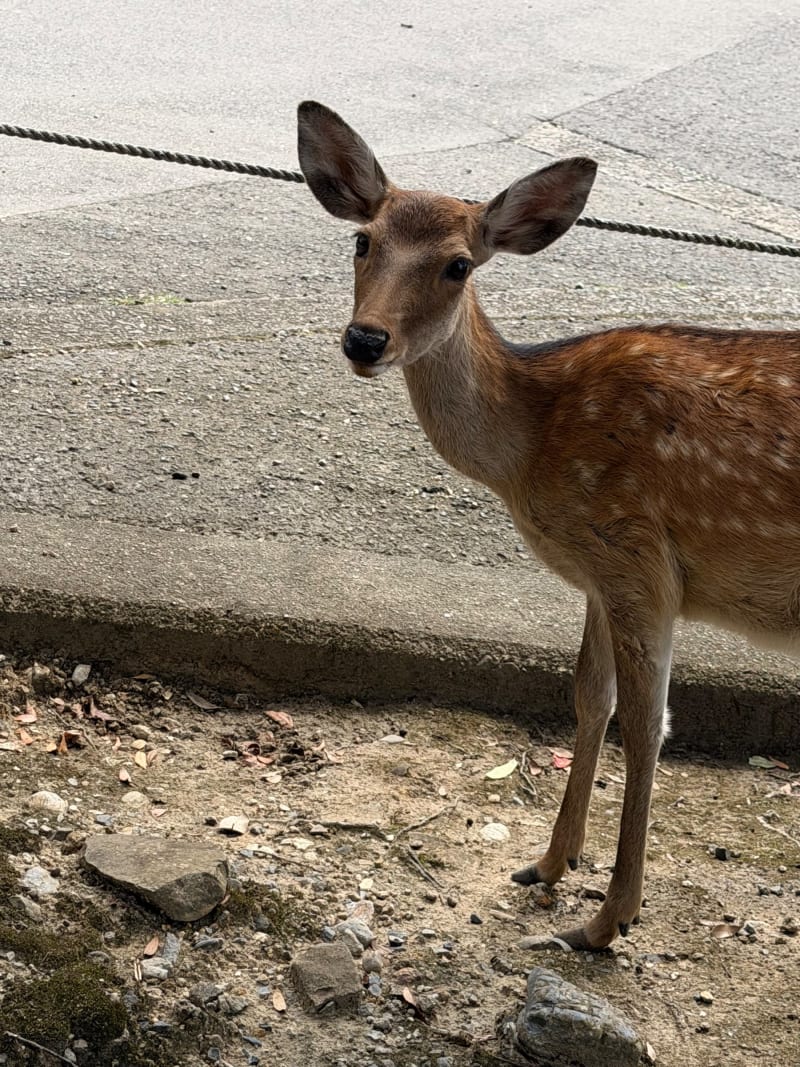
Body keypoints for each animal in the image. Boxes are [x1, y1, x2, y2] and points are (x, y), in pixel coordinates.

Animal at [296, 100, 800, 950]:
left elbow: (647, 723)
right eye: (362, 240)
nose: (364, 339)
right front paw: (547, 864)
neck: (534, 441)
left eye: (458, 265)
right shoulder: (599, 572)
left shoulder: (641, 561)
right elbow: (589, 696)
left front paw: (608, 918)